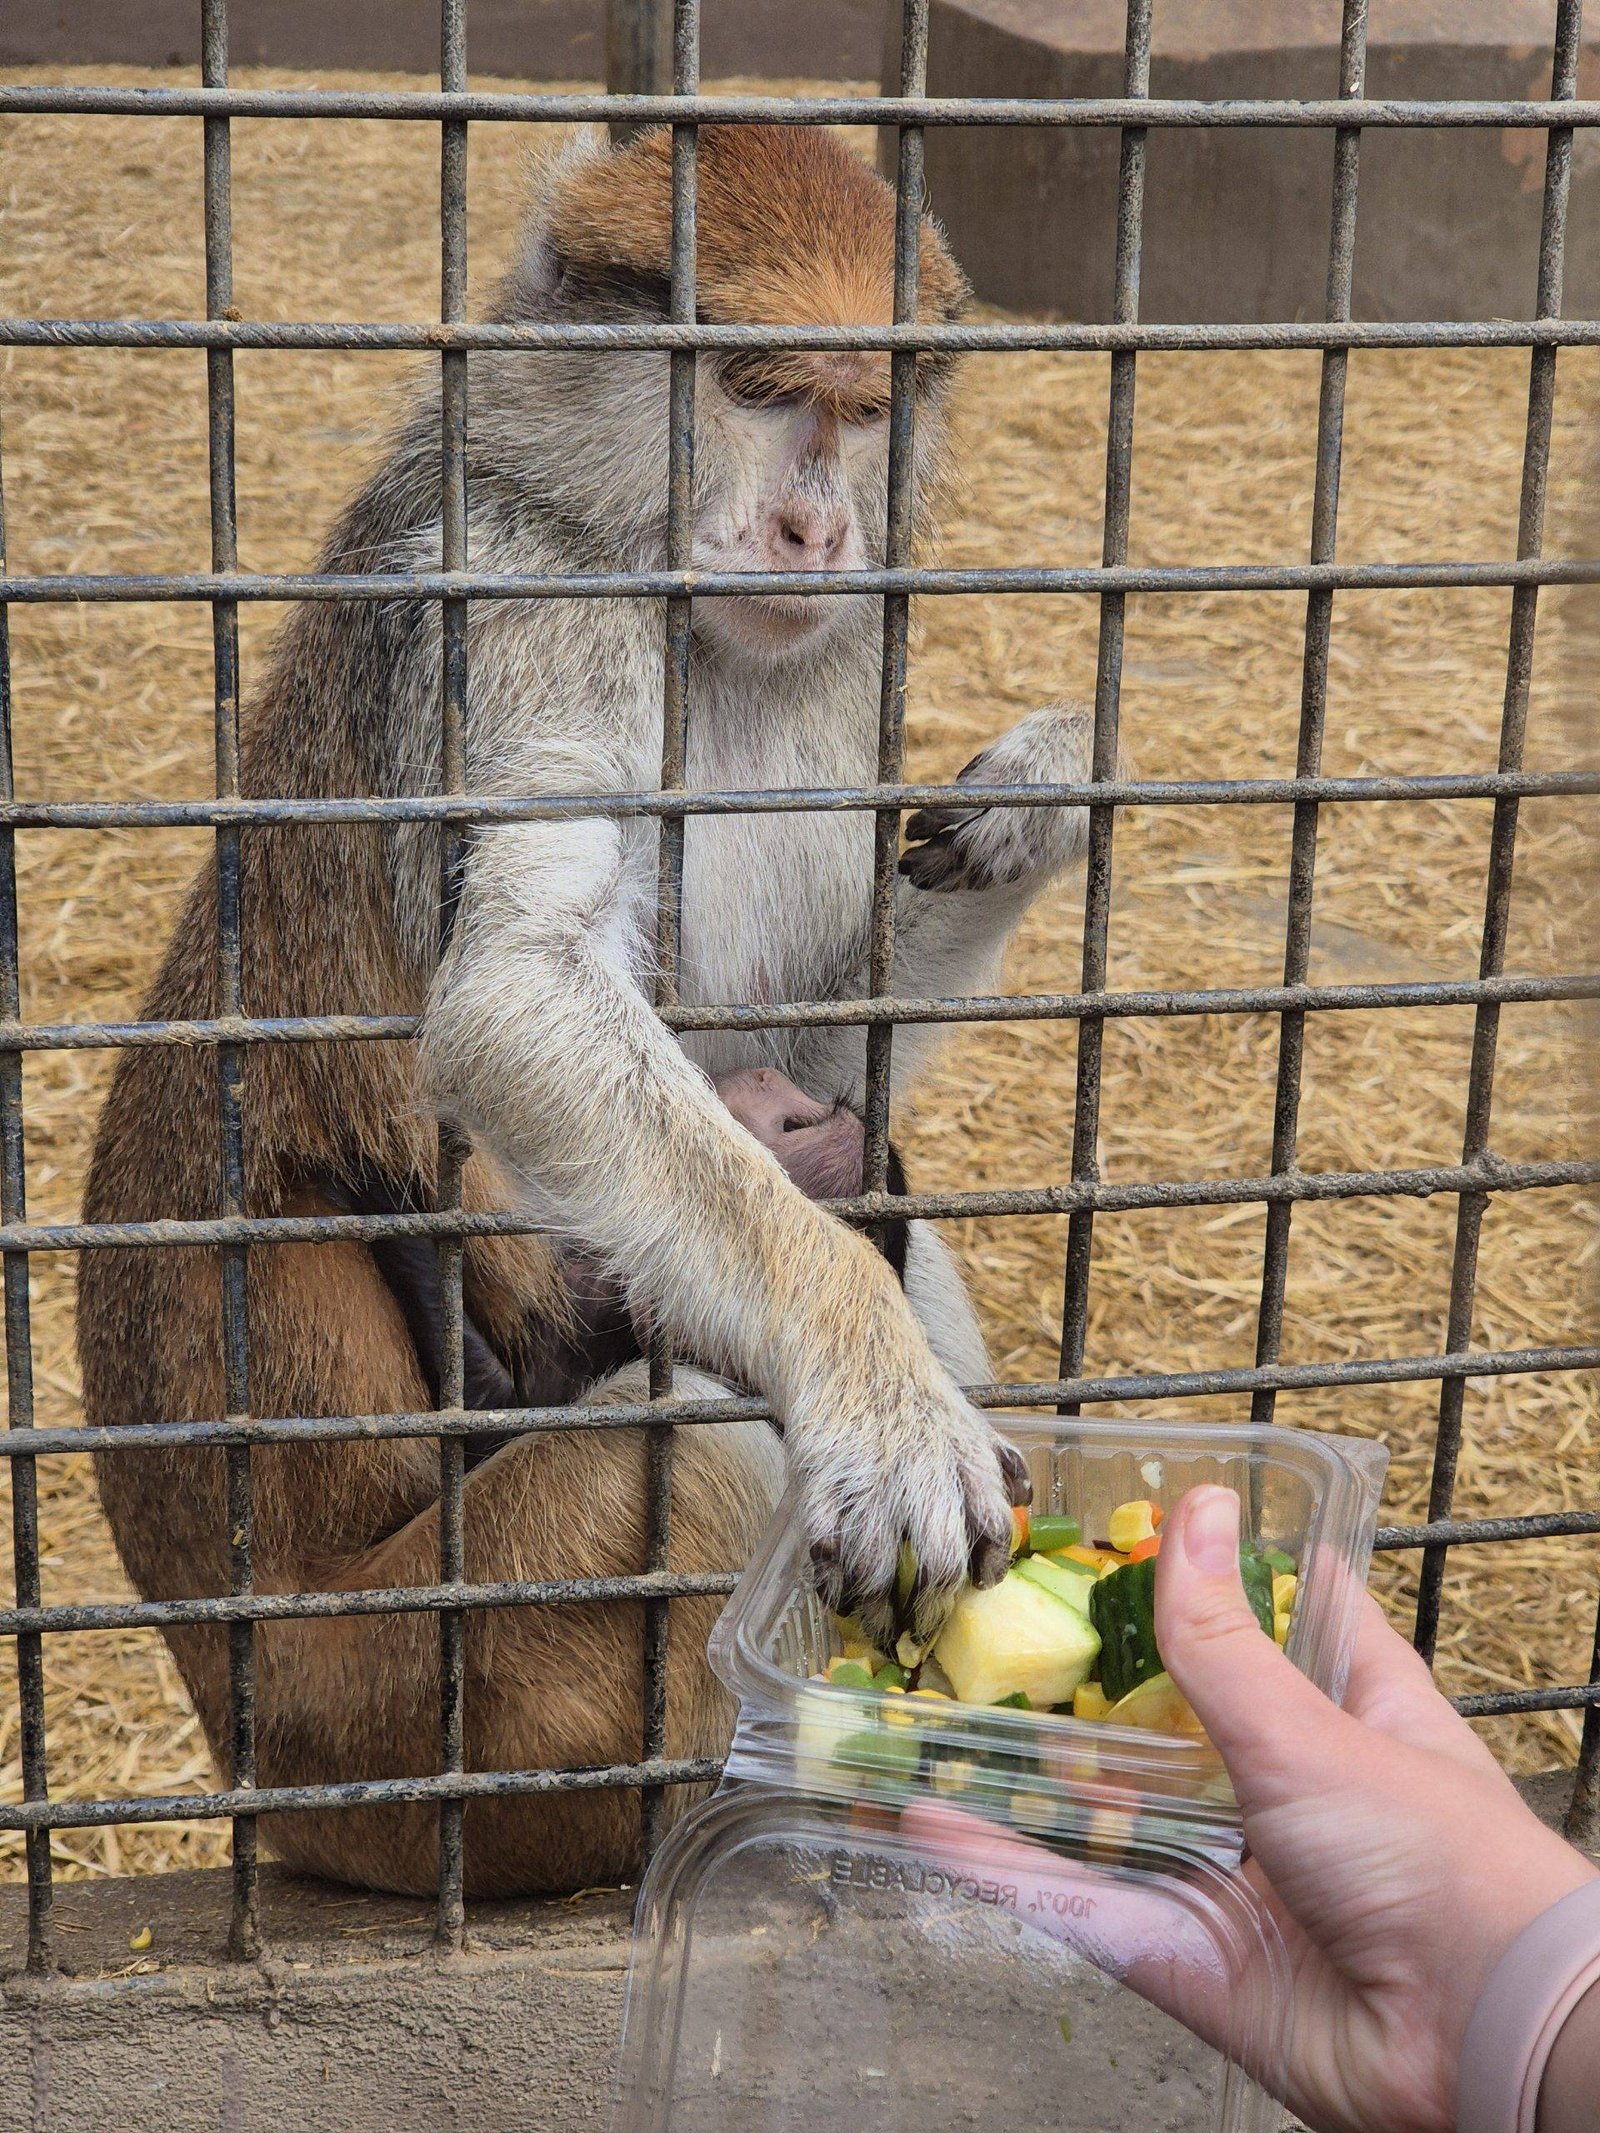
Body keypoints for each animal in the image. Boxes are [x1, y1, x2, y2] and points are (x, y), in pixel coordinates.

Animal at [76, 124, 1093, 1898]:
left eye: (865, 410)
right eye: (757, 392)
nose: (816, 531)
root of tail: (249, 1758)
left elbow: (804, 1073)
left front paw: (1033, 794)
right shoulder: (525, 612)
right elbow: (518, 993)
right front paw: (881, 1396)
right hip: (413, 1715)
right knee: (695, 1448)